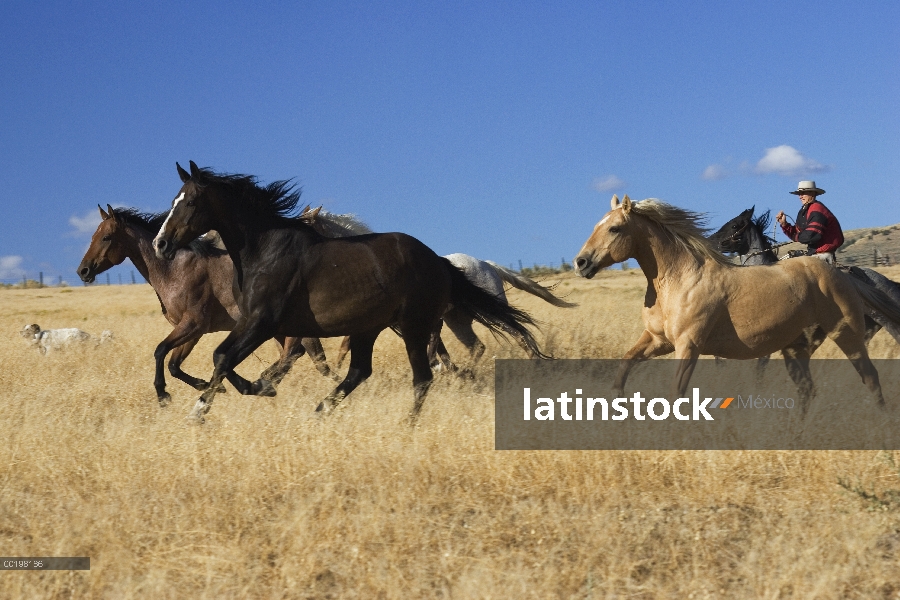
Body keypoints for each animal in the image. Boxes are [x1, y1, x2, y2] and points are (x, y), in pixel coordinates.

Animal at [74, 206, 338, 408]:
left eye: (106, 237)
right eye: (93, 236)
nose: (83, 271)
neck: (175, 270)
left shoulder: (193, 324)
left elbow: (160, 351)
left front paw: (164, 395)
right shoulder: (193, 330)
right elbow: (174, 365)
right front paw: (209, 386)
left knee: (296, 354)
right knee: (301, 356)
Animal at [152, 159, 544, 422]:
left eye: (189, 202)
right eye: (173, 201)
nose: (161, 243)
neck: (263, 250)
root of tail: (439, 261)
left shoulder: (263, 322)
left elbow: (223, 357)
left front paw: (208, 406)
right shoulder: (256, 323)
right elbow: (227, 358)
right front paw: (246, 390)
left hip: (413, 327)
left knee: (422, 377)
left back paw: (405, 425)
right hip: (369, 327)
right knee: (360, 372)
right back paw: (321, 409)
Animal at [572, 195, 900, 414]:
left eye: (614, 228)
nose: (581, 262)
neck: (679, 280)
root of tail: (843, 275)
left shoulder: (688, 345)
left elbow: (677, 393)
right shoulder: (658, 340)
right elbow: (625, 365)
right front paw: (617, 405)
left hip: (846, 333)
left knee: (870, 377)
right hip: (796, 347)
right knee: (807, 389)